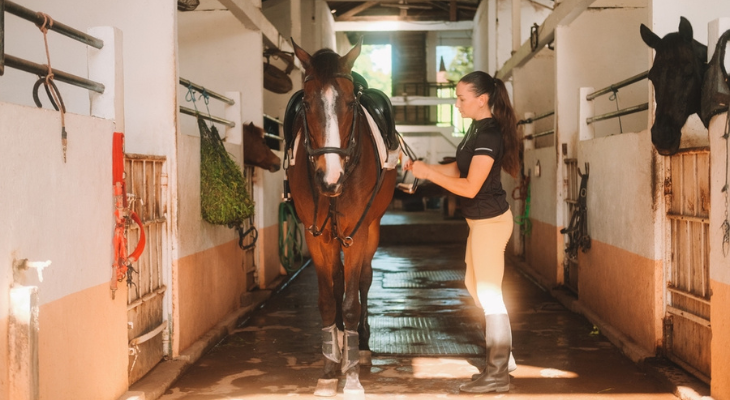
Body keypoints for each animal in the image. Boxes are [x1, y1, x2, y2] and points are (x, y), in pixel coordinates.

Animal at [286, 40, 397, 397]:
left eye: (350, 103)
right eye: (306, 103)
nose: (329, 178)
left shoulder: (357, 232)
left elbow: (350, 301)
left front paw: (350, 377)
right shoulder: (316, 236)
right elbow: (327, 299)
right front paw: (328, 369)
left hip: (370, 230)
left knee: (362, 281)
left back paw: (360, 346)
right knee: (337, 282)